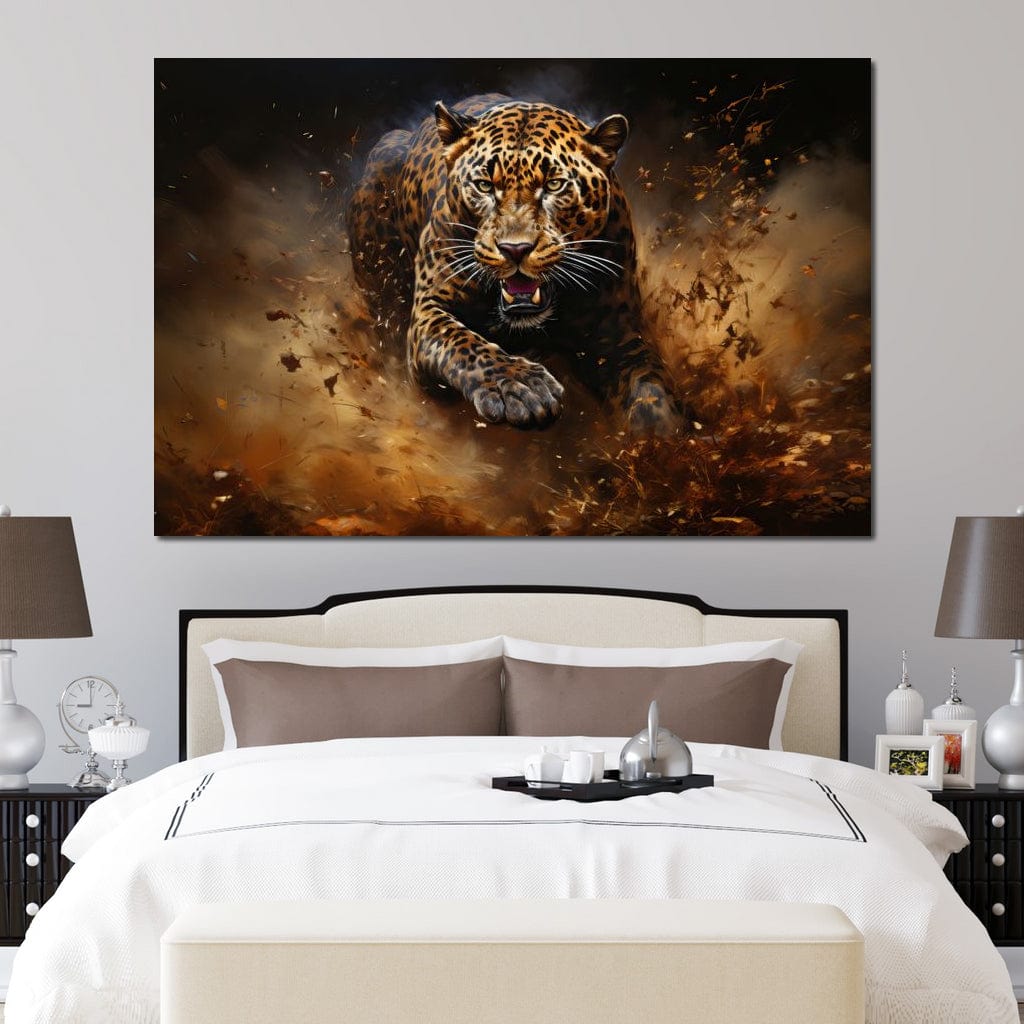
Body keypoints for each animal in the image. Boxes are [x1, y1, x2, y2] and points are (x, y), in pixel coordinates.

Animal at [348, 93, 681, 434]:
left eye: (554, 185)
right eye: (484, 185)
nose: (515, 249)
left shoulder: (618, 333)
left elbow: (651, 388)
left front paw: (664, 435)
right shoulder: (429, 311)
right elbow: (465, 344)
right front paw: (522, 388)